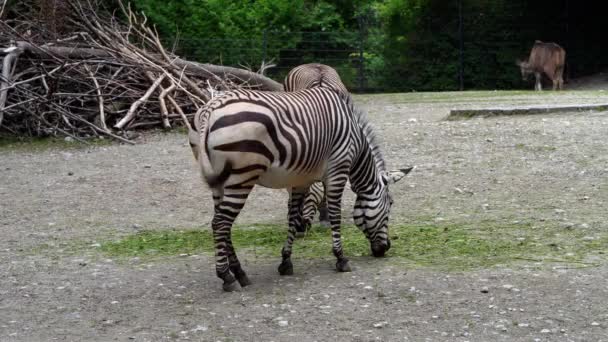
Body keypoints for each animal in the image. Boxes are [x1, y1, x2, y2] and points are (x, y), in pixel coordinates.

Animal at [188, 86, 410, 292]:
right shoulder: (338, 170)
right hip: (243, 177)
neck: (355, 141)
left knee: (221, 223)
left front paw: (286, 262)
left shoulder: (300, 180)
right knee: (221, 224)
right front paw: (341, 258)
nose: (386, 248)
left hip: (220, 181)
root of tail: (211, 107)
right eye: (391, 204)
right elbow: (335, 214)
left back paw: (240, 273)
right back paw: (227, 277)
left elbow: (293, 217)